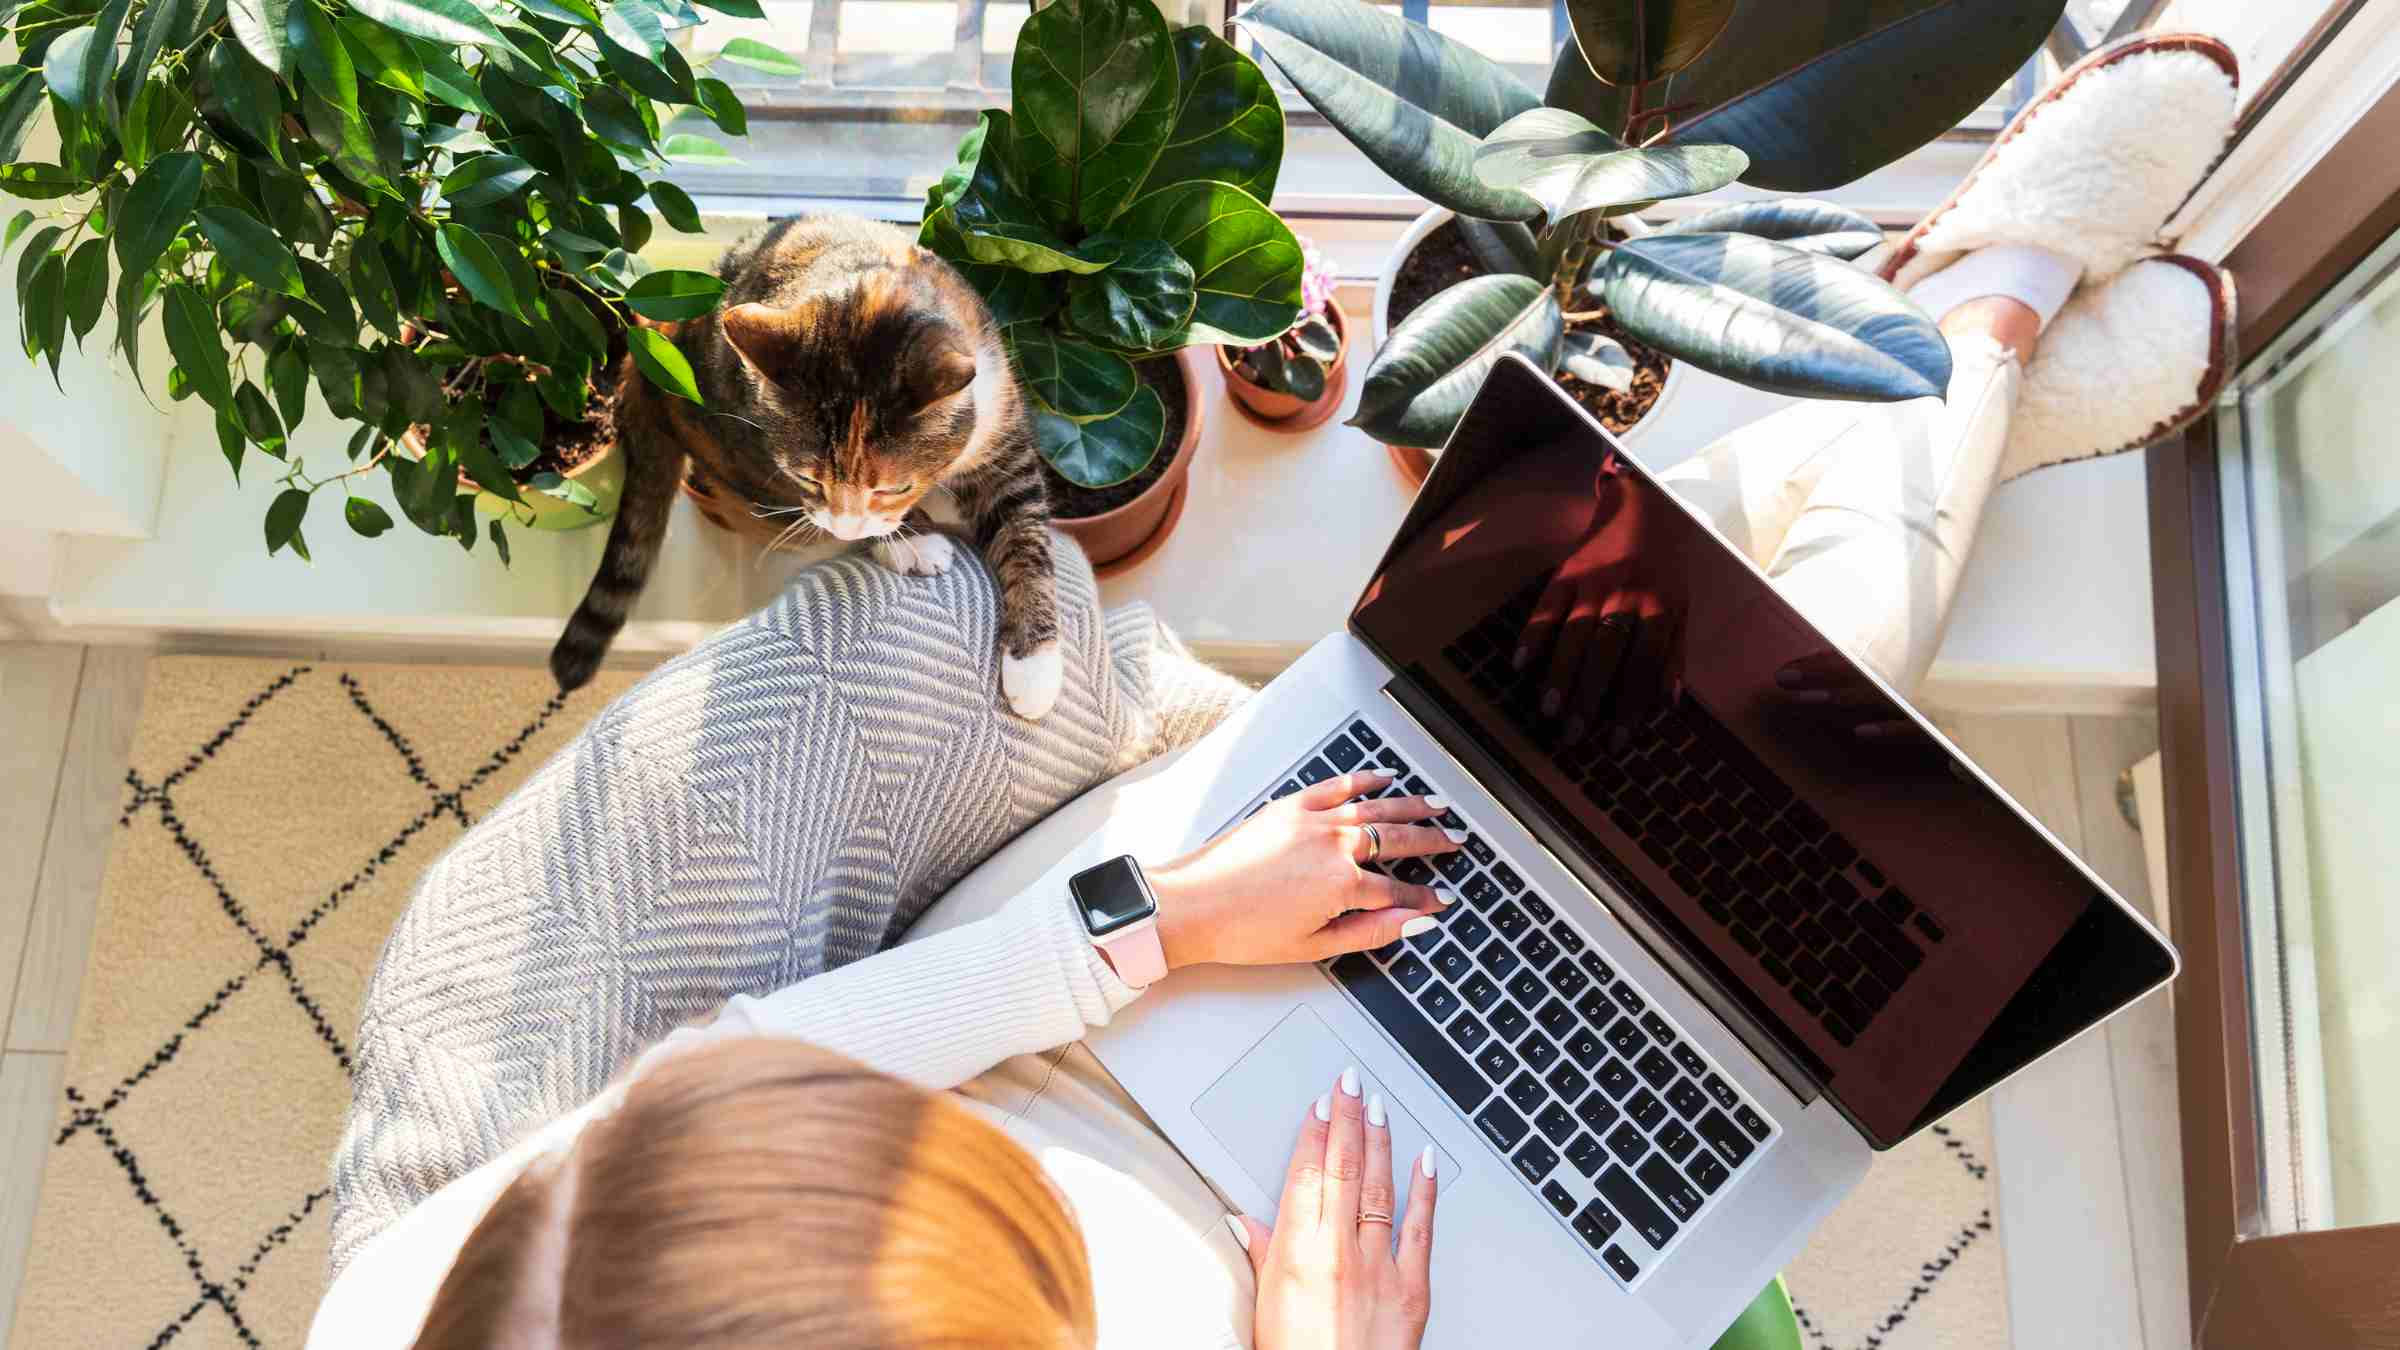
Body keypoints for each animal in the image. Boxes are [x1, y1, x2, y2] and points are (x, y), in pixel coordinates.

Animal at [556, 212, 1065, 715]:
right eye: (808, 478)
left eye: (894, 487)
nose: (845, 525)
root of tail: (649, 345)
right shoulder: (760, 449)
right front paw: (909, 542)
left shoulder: (1003, 433)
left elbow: (1025, 533)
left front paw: (1034, 664)